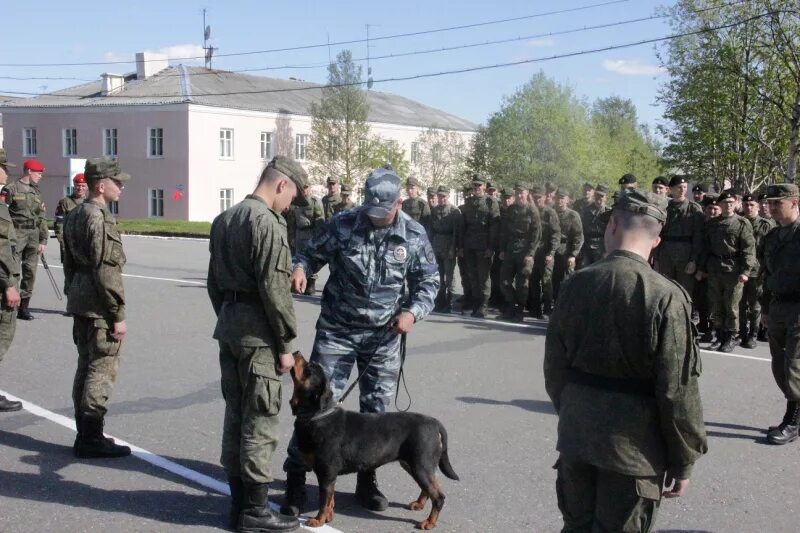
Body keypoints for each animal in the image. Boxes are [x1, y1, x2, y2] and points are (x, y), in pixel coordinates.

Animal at [290, 352, 460, 528]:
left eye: (309, 368)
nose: (296, 353)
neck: (318, 415)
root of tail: (435, 423)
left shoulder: (326, 472)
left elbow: (324, 501)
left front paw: (318, 520)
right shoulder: (330, 475)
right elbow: (331, 500)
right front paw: (329, 517)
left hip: (421, 465)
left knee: (438, 496)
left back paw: (429, 522)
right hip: (412, 465)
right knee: (428, 488)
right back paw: (419, 504)